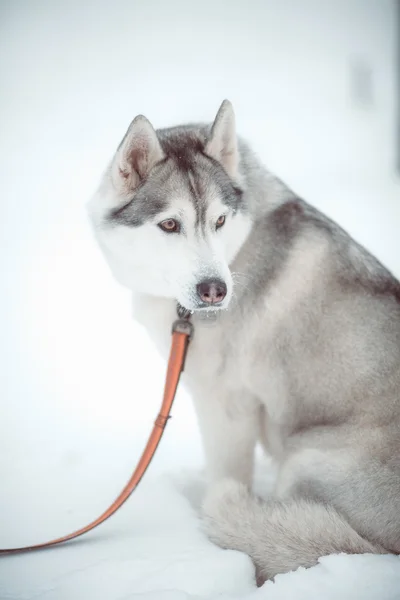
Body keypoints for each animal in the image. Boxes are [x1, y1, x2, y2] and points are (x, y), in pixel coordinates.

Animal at [89, 102, 400, 580]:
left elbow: (226, 474)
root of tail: (375, 553)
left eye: (219, 220)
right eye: (169, 224)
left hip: (306, 459)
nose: (215, 290)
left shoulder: (227, 407)